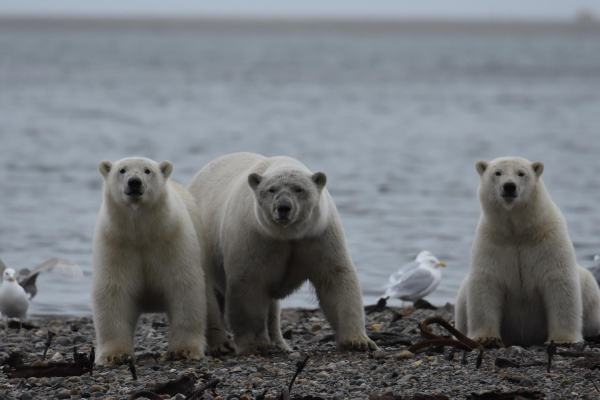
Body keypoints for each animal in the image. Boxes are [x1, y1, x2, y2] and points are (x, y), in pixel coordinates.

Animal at [91, 158, 225, 364]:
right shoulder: (115, 245)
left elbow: (184, 287)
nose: (134, 182)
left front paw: (183, 351)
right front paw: (115, 355)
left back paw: (219, 345)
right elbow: (113, 291)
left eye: (148, 171)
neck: (141, 233)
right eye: (122, 170)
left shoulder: (173, 241)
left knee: (209, 301)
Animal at [188, 154, 376, 356]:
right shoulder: (254, 238)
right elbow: (249, 283)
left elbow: (335, 277)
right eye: (271, 190)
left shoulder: (318, 235)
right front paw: (257, 345)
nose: (284, 207)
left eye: (299, 189)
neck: (287, 234)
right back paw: (220, 344)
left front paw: (358, 342)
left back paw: (279, 343)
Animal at [454, 156, 600, 346]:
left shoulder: (549, 243)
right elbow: (486, 283)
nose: (509, 186)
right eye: (497, 172)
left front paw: (562, 340)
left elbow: (559, 282)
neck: (518, 233)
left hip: (591, 294)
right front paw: (486, 337)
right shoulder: (493, 243)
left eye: (521, 173)